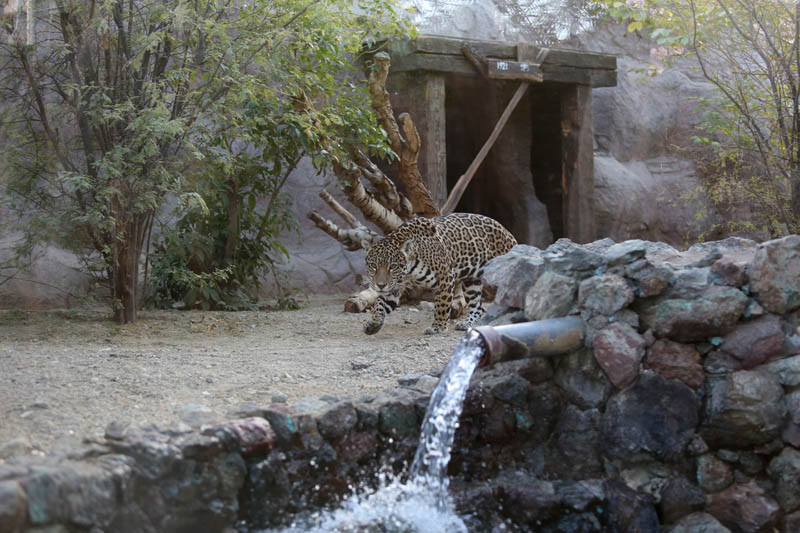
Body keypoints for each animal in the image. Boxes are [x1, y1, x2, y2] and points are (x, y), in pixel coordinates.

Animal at [362, 212, 517, 335]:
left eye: (392, 267)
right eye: (373, 266)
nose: (380, 285)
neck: (408, 271)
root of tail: (507, 232)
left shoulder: (445, 278)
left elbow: (442, 305)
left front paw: (438, 327)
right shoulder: (393, 288)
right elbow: (380, 305)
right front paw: (373, 323)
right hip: (471, 281)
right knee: (478, 307)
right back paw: (466, 323)